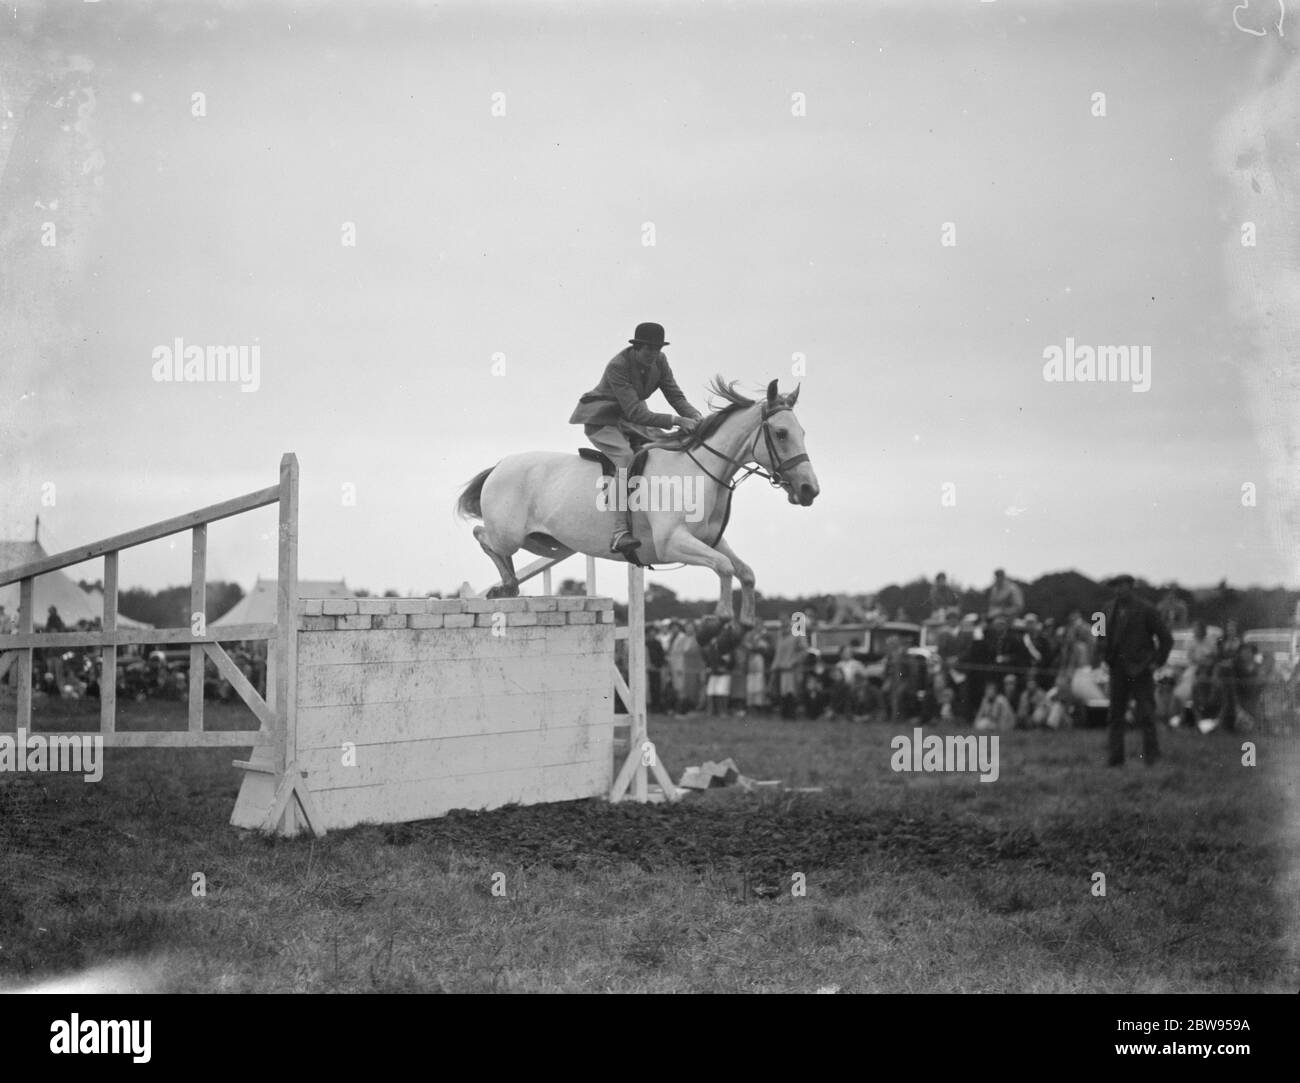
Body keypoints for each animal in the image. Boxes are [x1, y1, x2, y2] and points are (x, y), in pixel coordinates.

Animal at [462, 377, 816, 624]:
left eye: (802, 433)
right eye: (781, 433)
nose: (810, 489)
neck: (696, 472)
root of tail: (500, 465)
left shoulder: (709, 540)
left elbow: (745, 571)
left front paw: (745, 622)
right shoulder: (672, 544)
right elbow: (725, 567)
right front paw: (721, 618)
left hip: (540, 541)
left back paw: (508, 586)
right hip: (509, 534)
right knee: (483, 537)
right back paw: (506, 585)